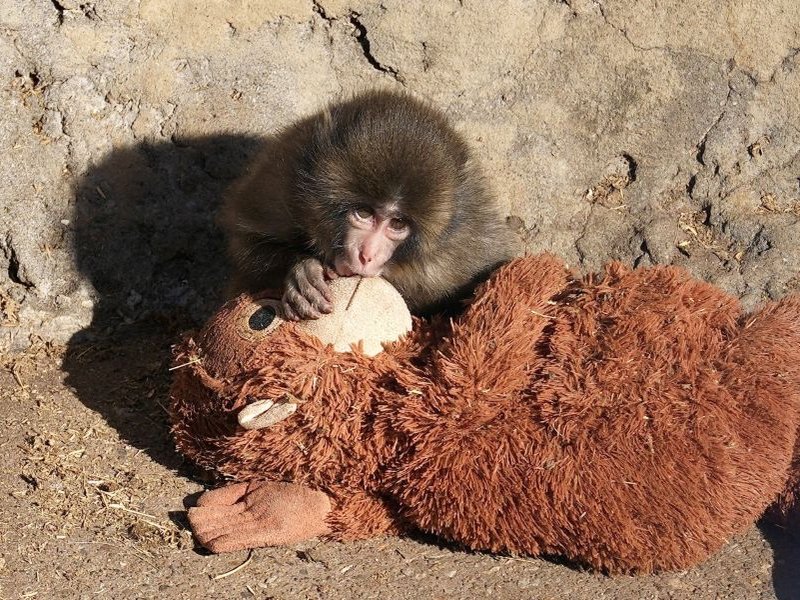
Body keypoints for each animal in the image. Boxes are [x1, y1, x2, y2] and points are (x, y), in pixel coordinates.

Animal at [220, 89, 516, 320]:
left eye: (397, 224)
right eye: (364, 213)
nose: (367, 255)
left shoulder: (460, 250)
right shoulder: (284, 179)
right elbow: (246, 239)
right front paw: (301, 271)